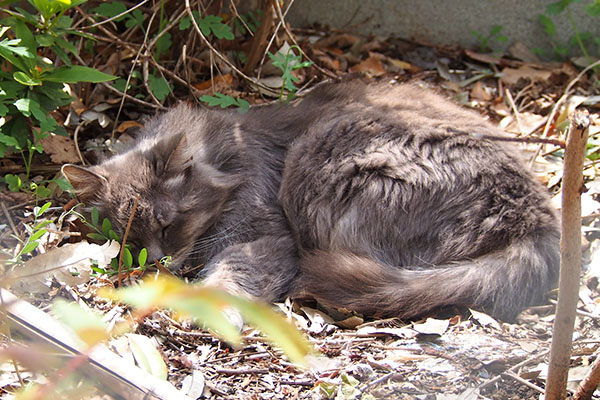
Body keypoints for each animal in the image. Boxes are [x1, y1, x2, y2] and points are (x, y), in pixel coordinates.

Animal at [63, 79, 560, 320]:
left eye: (167, 225)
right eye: (129, 239)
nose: (155, 263)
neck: (229, 155)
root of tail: (537, 223)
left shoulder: (264, 237)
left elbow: (229, 273)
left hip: (324, 161)